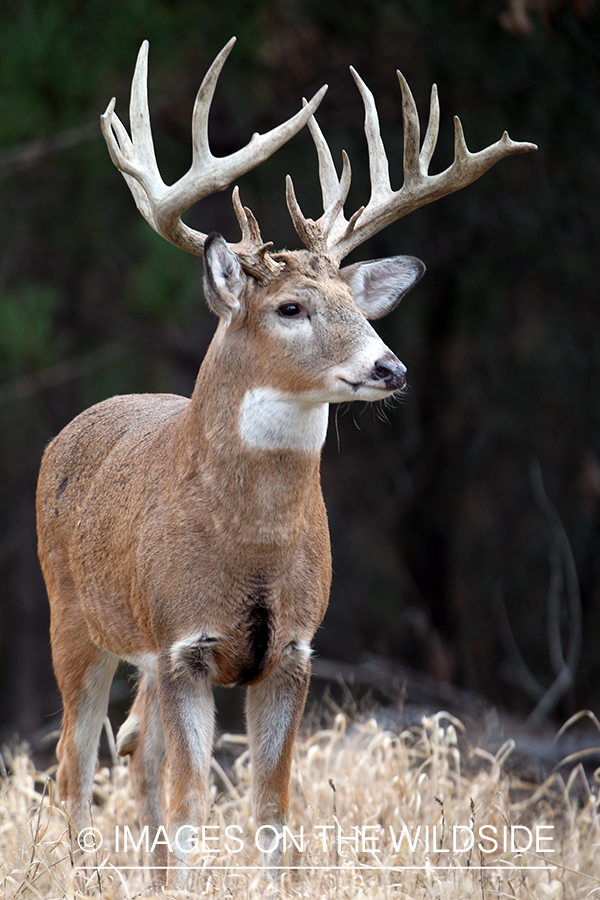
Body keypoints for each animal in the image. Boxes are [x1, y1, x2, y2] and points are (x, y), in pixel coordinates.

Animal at [36, 37, 536, 884]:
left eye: (359, 305)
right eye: (290, 308)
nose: (389, 368)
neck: (253, 545)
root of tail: (68, 430)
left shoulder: (294, 652)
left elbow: (272, 813)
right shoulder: (184, 645)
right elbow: (193, 803)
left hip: (139, 653)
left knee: (135, 753)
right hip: (72, 615)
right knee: (75, 764)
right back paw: (81, 877)